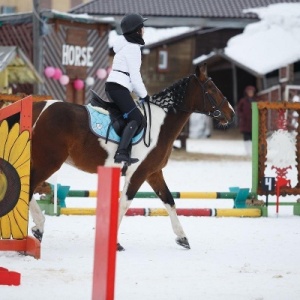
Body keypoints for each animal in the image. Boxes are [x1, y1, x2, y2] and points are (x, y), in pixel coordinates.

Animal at [28, 63, 234, 251]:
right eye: (211, 89)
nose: (231, 114)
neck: (160, 125)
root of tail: (38, 106)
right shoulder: (137, 173)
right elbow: (123, 205)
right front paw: (114, 243)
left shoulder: (153, 173)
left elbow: (169, 200)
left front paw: (182, 237)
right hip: (48, 161)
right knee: (30, 187)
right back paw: (39, 226)